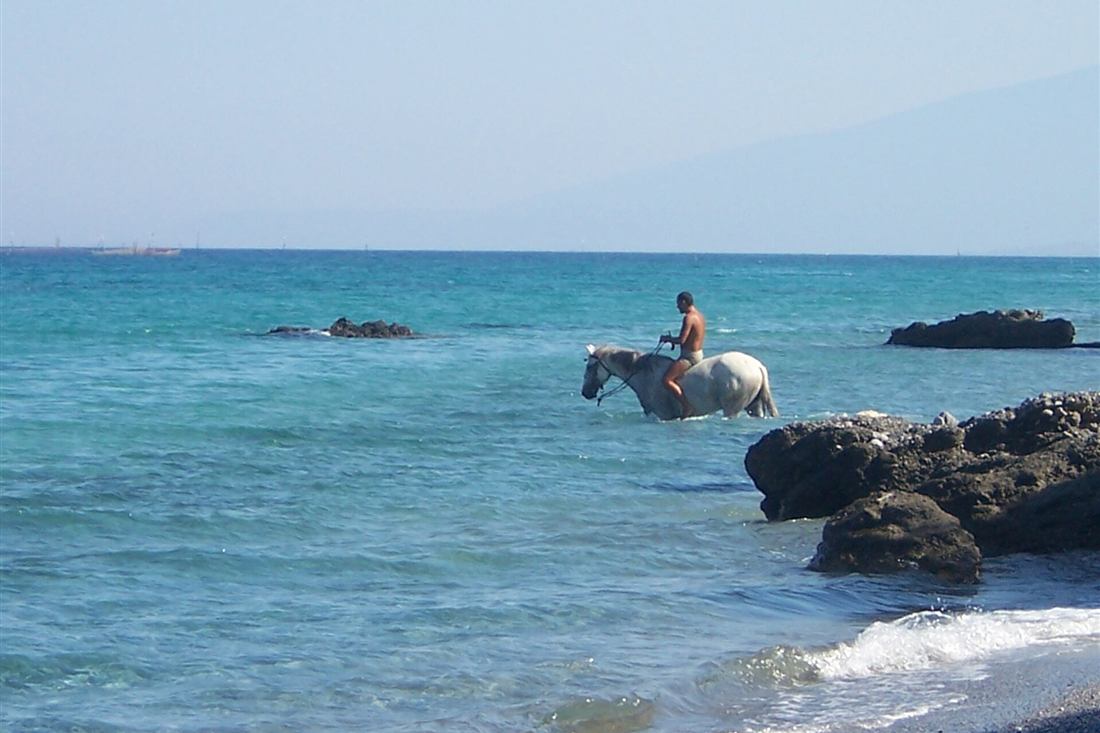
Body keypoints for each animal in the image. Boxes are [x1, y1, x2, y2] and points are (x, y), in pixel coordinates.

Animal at [581, 344, 778, 420]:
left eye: (590, 367)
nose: (585, 393)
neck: (644, 374)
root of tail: (757, 365)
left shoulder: (662, 415)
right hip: (754, 405)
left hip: (732, 408)